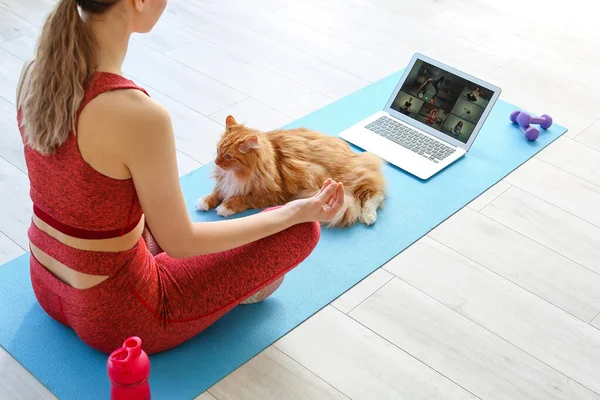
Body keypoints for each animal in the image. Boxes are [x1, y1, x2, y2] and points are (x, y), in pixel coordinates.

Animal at [195, 115, 386, 228]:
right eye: (218, 150)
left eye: (228, 156)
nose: (216, 162)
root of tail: (351, 153)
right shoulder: (226, 183)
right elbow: (216, 193)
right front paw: (204, 202)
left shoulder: (271, 194)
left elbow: (241, 198)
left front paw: (225, 207)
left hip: (347, 178)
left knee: (375, 194)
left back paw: (369, 217)